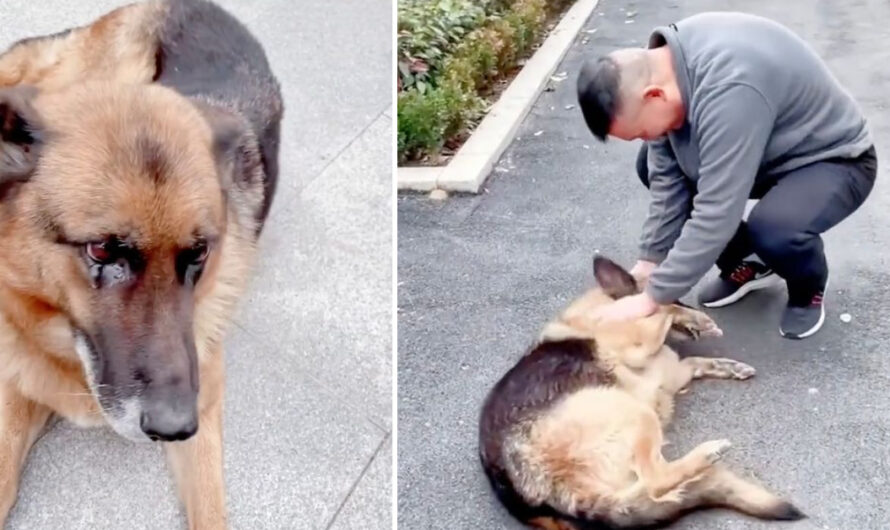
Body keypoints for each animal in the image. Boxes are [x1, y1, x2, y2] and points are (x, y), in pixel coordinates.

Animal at [478, 255, 804, 524]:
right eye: (680, 297)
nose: (694, 309)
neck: (599, 310)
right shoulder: (640, 346)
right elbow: (661, 309)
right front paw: (693, 317)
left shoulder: (673, 372)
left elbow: (695, 360)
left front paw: (728, 366)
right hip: (634, 413)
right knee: (655, 481)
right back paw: (706, 454)